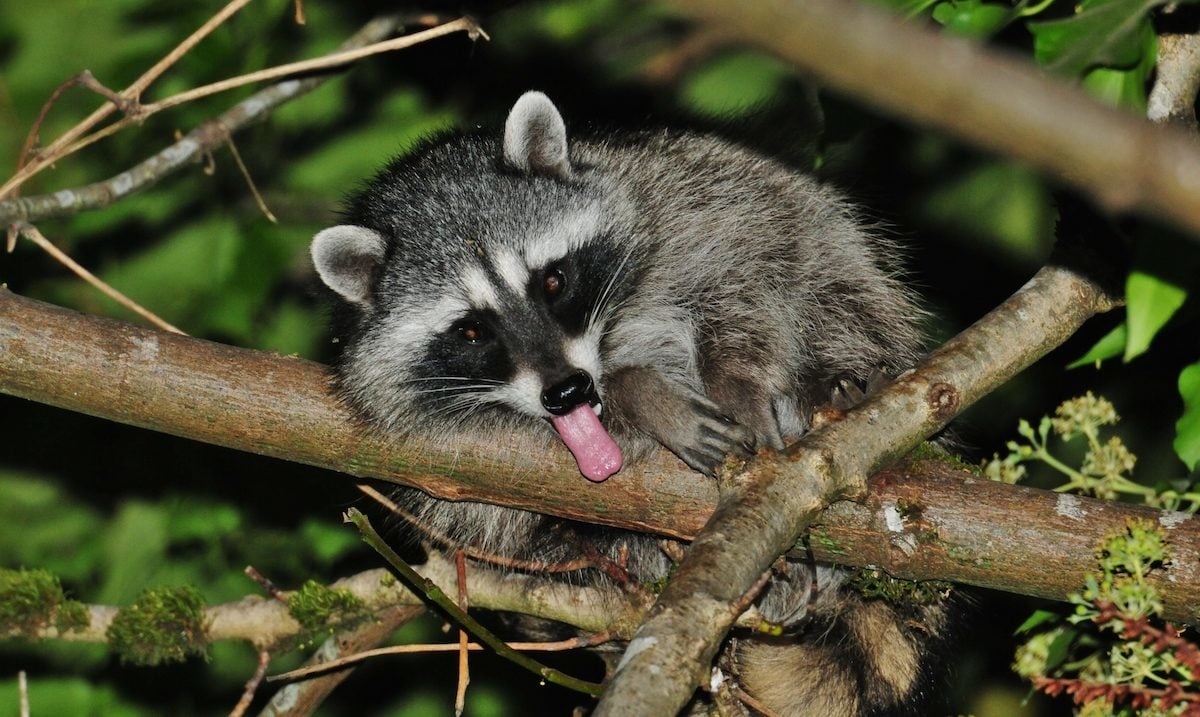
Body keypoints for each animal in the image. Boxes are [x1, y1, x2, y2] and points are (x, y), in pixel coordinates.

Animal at [311, 91, 950, 715]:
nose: (568, 391)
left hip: (823, 248)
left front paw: (736, 382)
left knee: (834, 285)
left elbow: (747, 282)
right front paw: (643, 396)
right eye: (470, 330)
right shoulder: (439, 447)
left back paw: (839, 384)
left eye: (552, 280)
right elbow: (497, 501)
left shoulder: (686, 207)